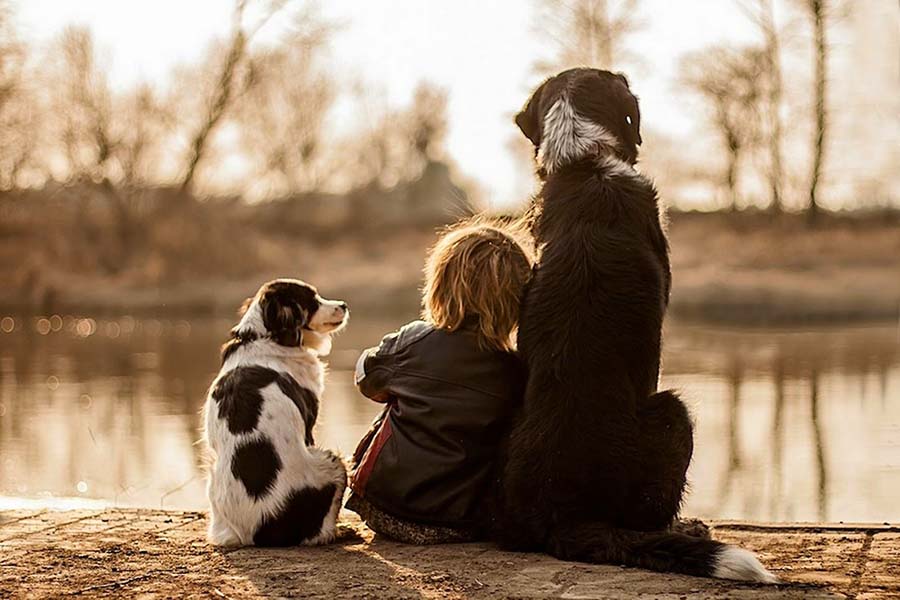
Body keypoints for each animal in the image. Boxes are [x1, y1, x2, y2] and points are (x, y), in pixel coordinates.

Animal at [203, 278, 348, 548]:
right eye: (312, 300)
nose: (343, 304)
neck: (264, 337)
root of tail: (260, 533)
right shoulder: (309, 425)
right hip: (331, 461)